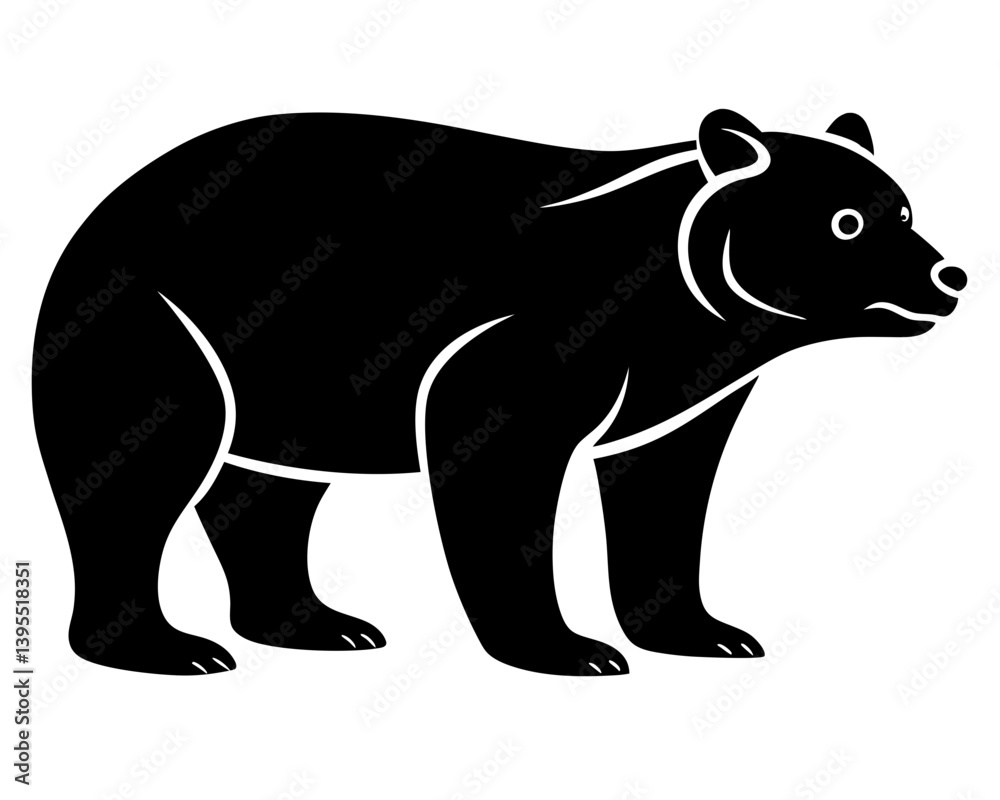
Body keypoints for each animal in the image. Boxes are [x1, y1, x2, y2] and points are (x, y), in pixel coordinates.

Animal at [31, 108, 966, 676]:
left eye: (904, 210)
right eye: (845, 222)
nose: (949, 274)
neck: (686, 312)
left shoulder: (683, 391)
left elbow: (663, 492)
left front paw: (707, 633)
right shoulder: (535, 338)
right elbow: (499, 471)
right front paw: (571, 648)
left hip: (282, 386)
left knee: (266, 494)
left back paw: (323, 624)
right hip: (158, 330)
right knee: (138, 473)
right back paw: (166, 647)